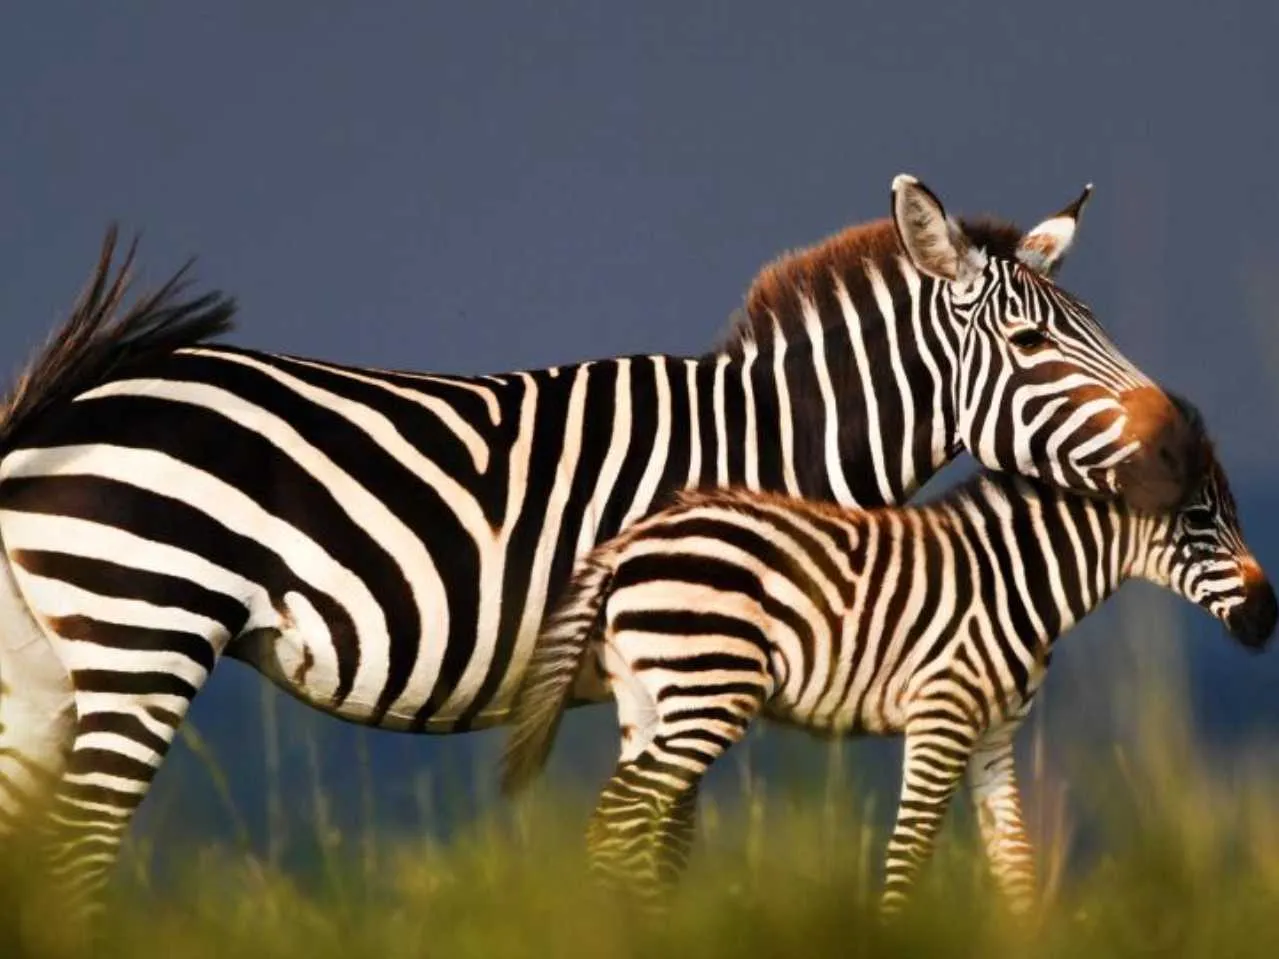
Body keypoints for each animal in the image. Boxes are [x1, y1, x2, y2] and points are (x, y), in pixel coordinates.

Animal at [503, 434, 1273, 915]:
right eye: (1198, 519)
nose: (1268, 616)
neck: (1015, 579)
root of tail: (628, 543)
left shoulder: (993, 735)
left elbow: (1016, 866)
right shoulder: (943, 714)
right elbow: (909, 855)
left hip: (649, 699)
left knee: (625, 824)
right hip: (707, 690)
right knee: (620, 818)